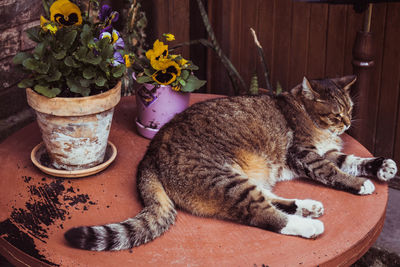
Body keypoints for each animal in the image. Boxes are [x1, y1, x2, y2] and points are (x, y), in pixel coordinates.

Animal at [64, 75, 396, 251]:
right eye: (337, 114)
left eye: (350, 109)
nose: (348, 123)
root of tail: (149, 154)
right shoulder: (306, 153)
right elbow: (335, 171)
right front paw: (360, 183)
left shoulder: (326, 152)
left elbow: (350, 159)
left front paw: (381, 166)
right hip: (225, 179)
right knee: (264, 214)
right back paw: (309, 225)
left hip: (242, 178)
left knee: (271, 200)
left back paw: (308, 207)